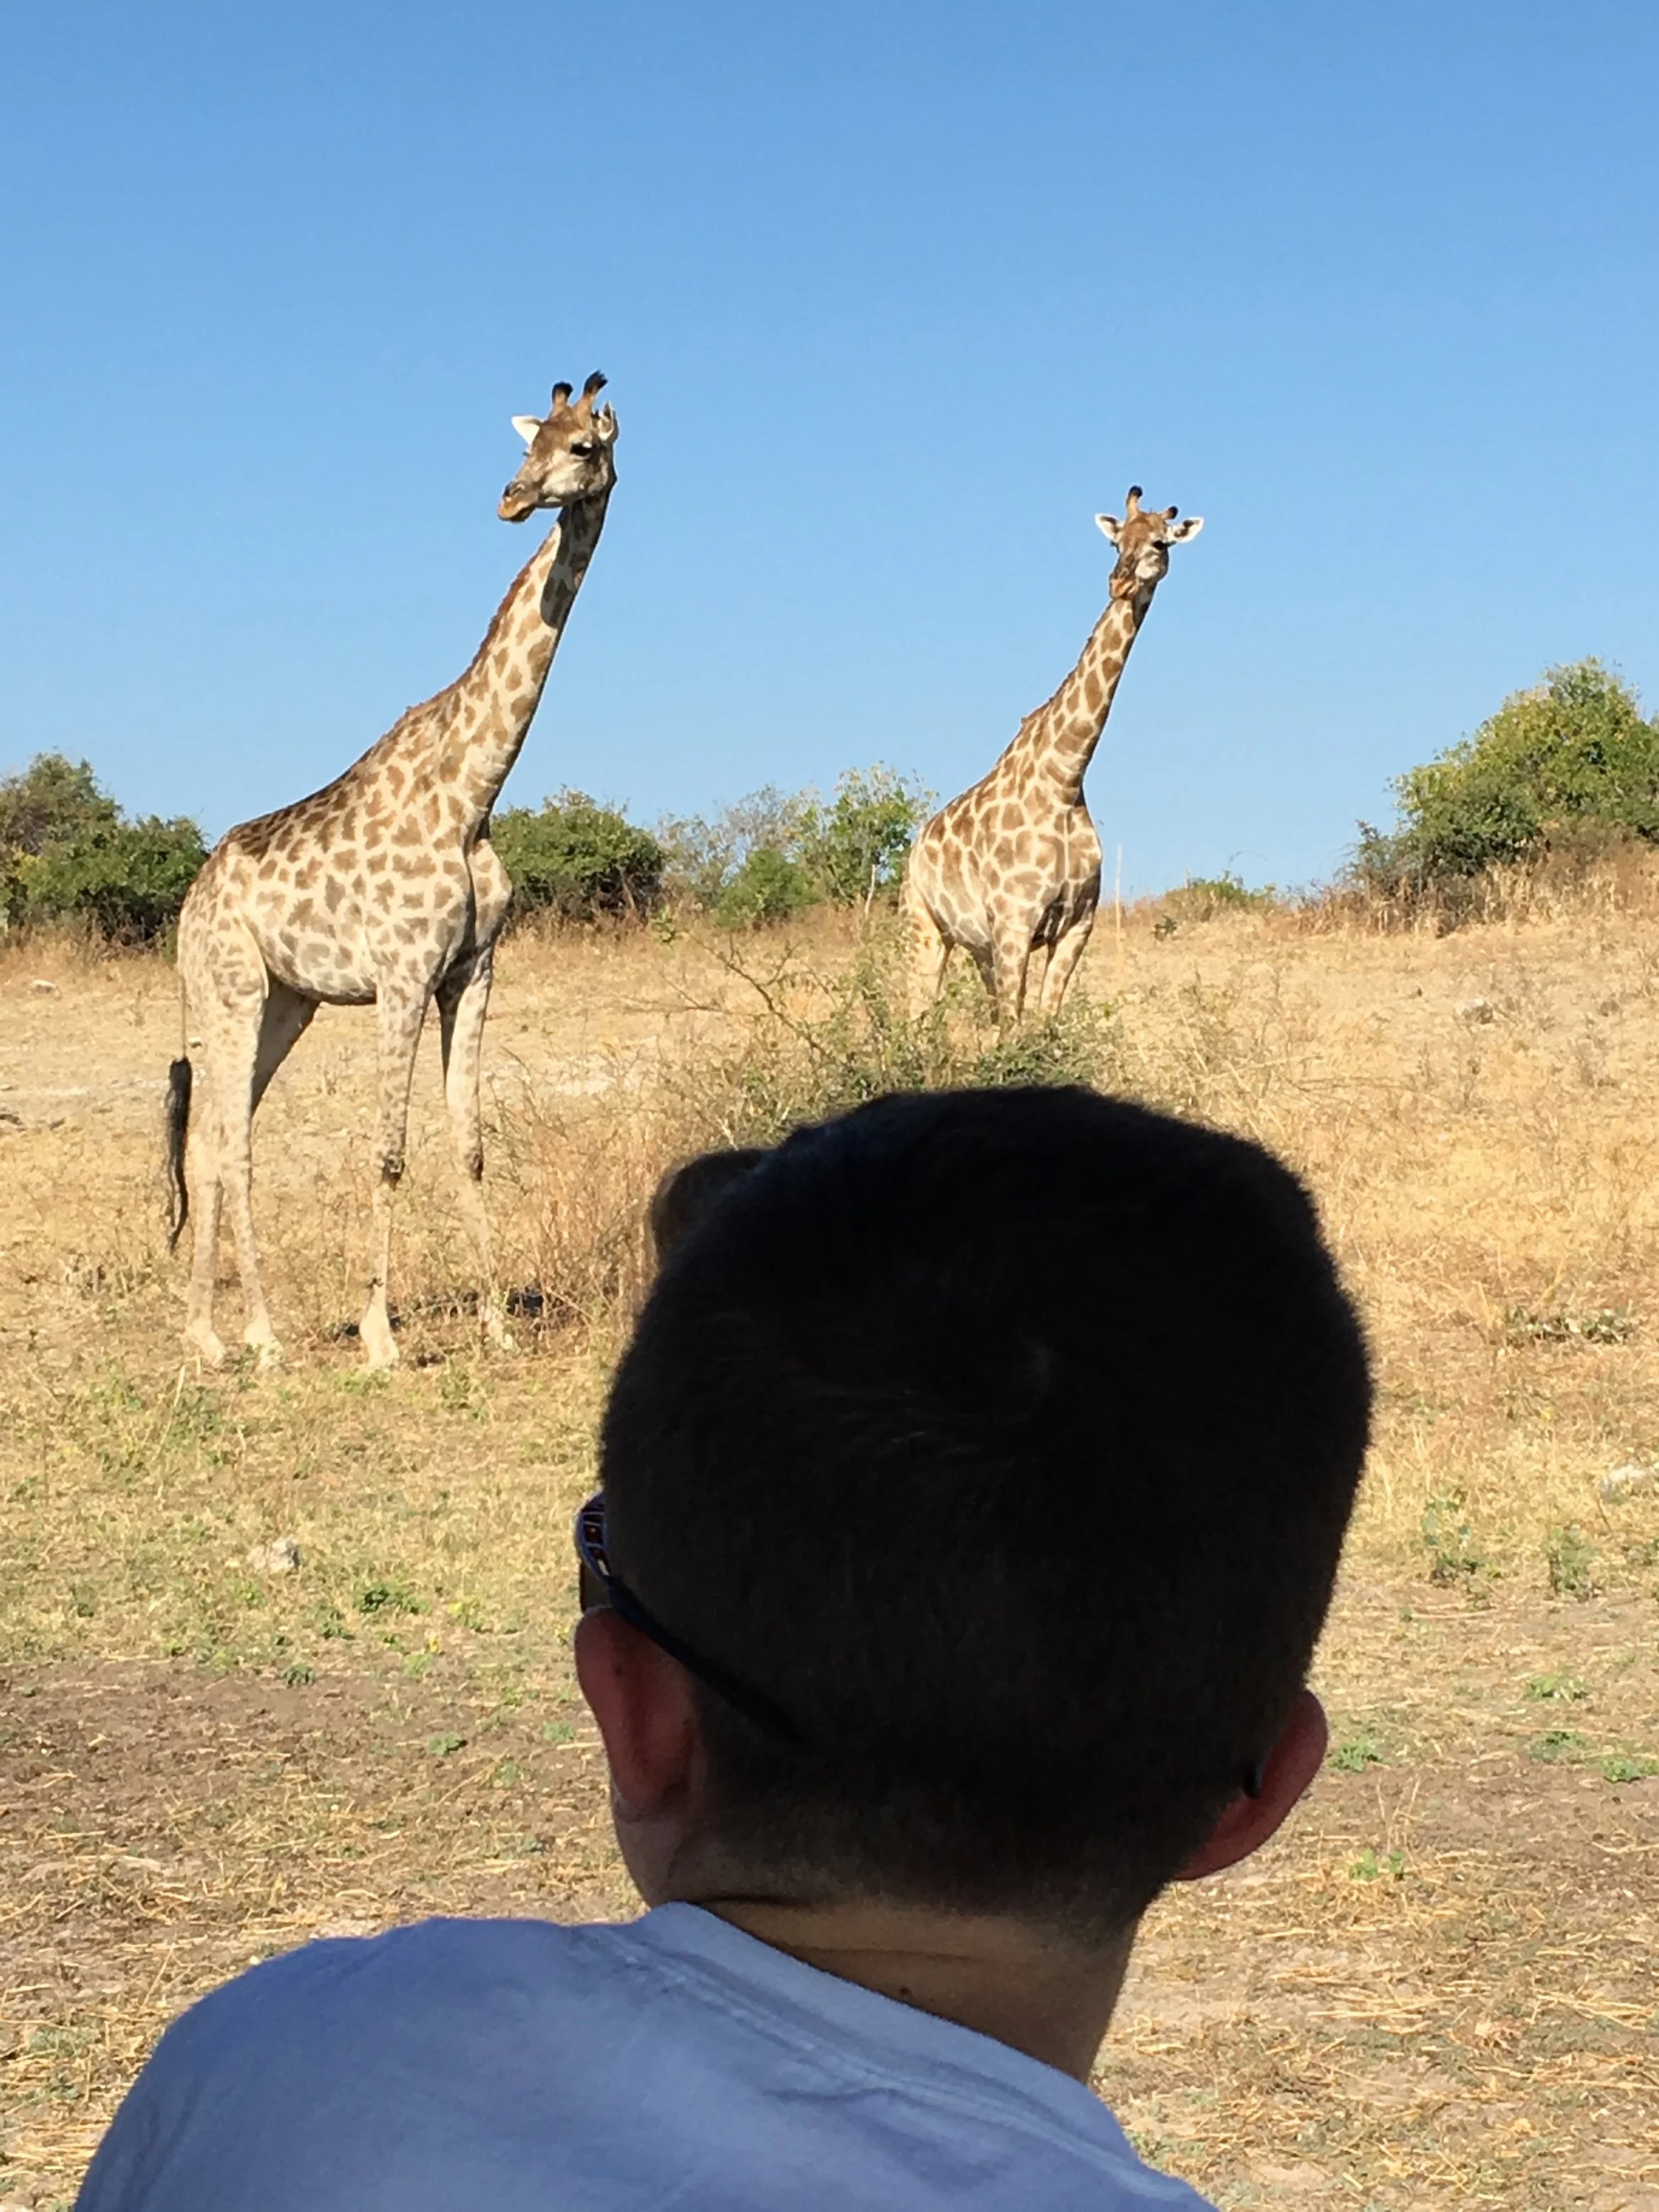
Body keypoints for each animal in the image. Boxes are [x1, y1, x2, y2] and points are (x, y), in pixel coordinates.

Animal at [165, 372, 619, 1370]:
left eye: (579, 448)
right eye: (533, 444)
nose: (510, 499)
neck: (473, 790)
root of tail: (189, 902)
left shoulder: (472, 973)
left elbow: (470, 1142)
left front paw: (497, 1325)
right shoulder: (403, 975)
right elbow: (389, 1149)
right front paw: (381, 1337)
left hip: (285, 1003)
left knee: (216, 1136)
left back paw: (211, 1334)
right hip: (229, 989)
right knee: (229, 1141)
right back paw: (262, 1335)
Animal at [900, 487, 1201, 1024]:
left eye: (1161, 544)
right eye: (1115, 543)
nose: (1120, 582)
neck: (1064, 778)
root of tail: (915, 848)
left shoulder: (1076, 927)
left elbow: (1044, 1026)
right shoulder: (1015, 923)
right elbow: (1016, 1030)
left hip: (977, 947)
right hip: (925, 926)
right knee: (915, 1017)